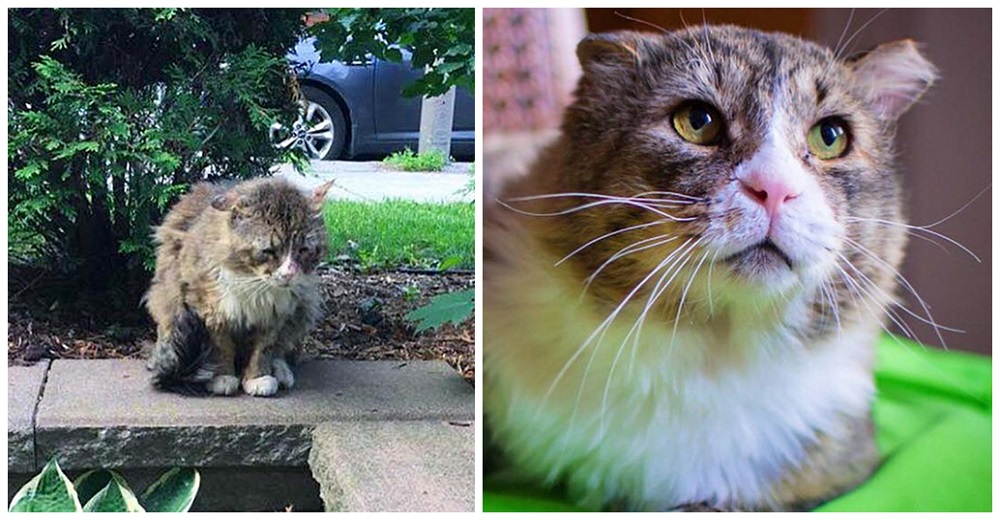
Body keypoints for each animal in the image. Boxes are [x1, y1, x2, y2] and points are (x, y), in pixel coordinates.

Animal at [146, 177, 332, 396]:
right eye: (269, 251)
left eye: (303, 250)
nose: (289, 273)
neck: (253, 283)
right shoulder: (211, 310)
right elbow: (222, 347)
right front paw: (223, 377)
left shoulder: (275, 314)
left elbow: (264, 349)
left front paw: (258, 377)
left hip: (305, 307)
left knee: (282, 349)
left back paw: (281, 370)